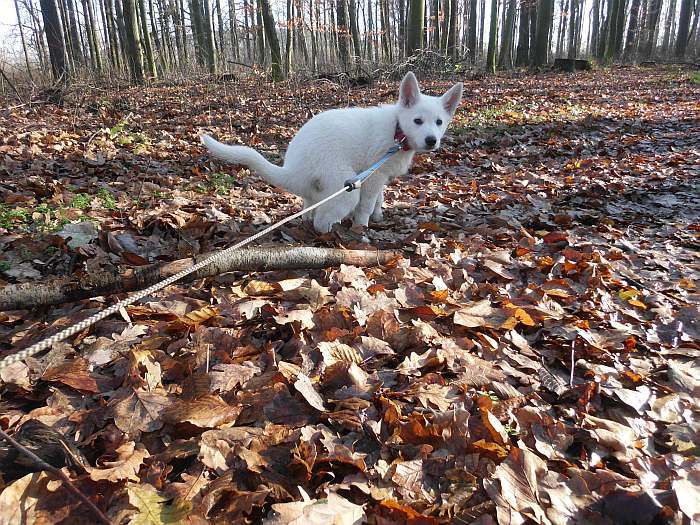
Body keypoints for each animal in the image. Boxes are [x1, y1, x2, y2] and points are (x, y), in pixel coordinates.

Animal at [200, 71, 462, 231]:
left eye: (439, 122)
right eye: (418, 121)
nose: (431, 140)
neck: (397, 130)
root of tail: (293, 168)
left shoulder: (379, 175)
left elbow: (379, 199)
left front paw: (378, 216)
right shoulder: (373, 176)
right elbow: (367, 204)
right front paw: (362, 227)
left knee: (309, 208)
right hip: (345, 185)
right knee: (321, 221)